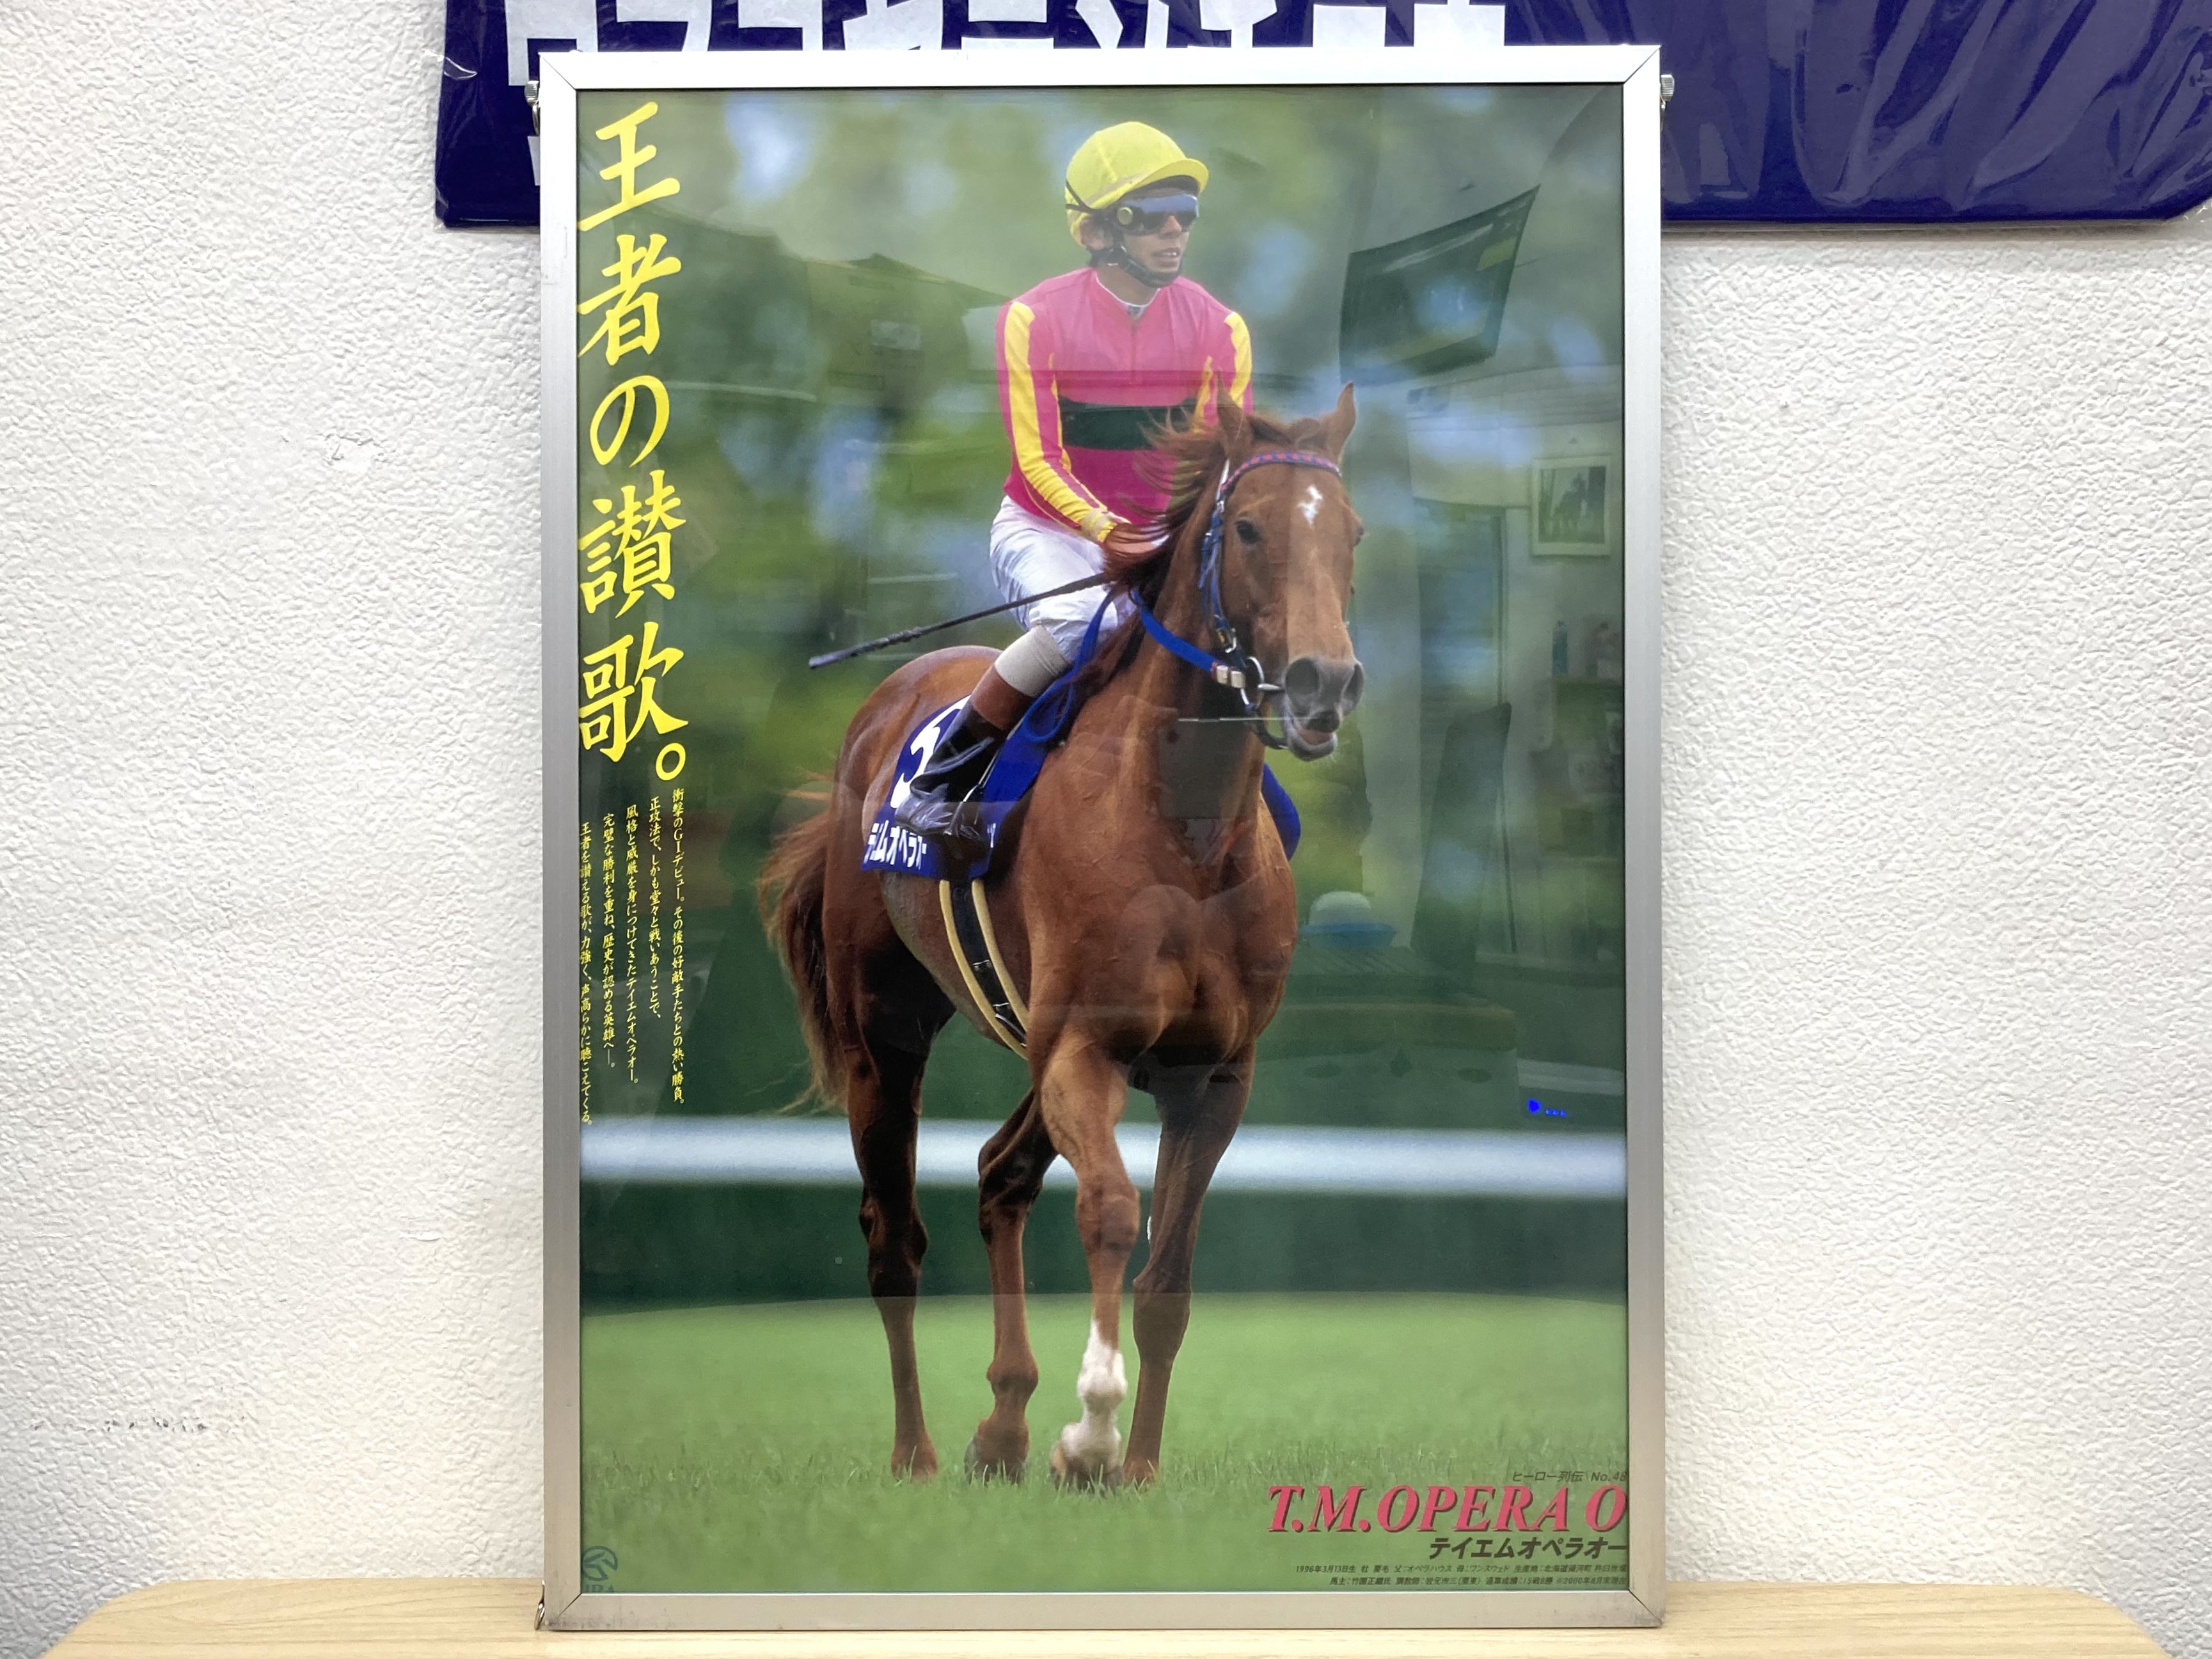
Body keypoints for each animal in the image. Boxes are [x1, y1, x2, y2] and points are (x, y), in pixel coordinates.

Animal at [758, 389, 1364, 1487]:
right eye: (1249, 529)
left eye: (1352, 531)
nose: (1320, 681)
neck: (1182, 833)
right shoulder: (1085, 1045)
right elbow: (1112, 1209)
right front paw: (1089, 1431)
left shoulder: (1214, 1071)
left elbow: (1169, 1270)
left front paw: (1138, 1468)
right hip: (886, 1036)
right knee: (893, 1235)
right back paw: (916, 1451)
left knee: (999, 1173)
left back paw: (1001, 1426)